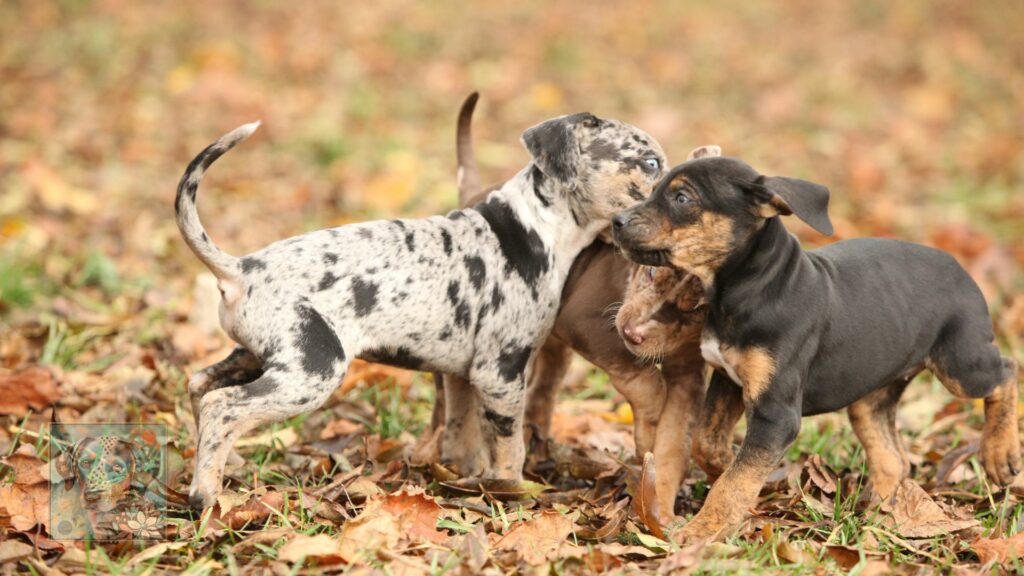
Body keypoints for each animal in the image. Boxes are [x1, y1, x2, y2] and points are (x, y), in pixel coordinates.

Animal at [180, 112, 667, 506]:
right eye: (651, 164)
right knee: (225, 406)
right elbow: (509, 448)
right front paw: (512, 491)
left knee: (201, 386)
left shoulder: (463, 376)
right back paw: (206, 495)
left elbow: (462, 435)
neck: (536, 227)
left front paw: (463, 477)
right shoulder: (502, 372)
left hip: (259, 355)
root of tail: (240, 269)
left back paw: (218, 467)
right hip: (312, 369)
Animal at [438, 94, 712, 516]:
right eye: (652, 164)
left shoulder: (688, 376)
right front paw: (647, 433)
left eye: (697, 308)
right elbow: (644, 382)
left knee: (540, 392)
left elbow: (673, 443)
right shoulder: (593, 326)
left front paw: (661, 508)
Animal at [610, 154, 1019, 537]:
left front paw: (703, 531)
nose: (616, 221)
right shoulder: (729, 379)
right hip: (872, 396)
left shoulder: (776, 413)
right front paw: (730, 471)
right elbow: (707, 444)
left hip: (961, 362)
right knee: (892, 458)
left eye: (682, 198)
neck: (752, 286)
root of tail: (962, 269)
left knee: (1007, 372)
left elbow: (733, 482)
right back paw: (878, 517)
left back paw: (1000, 455)